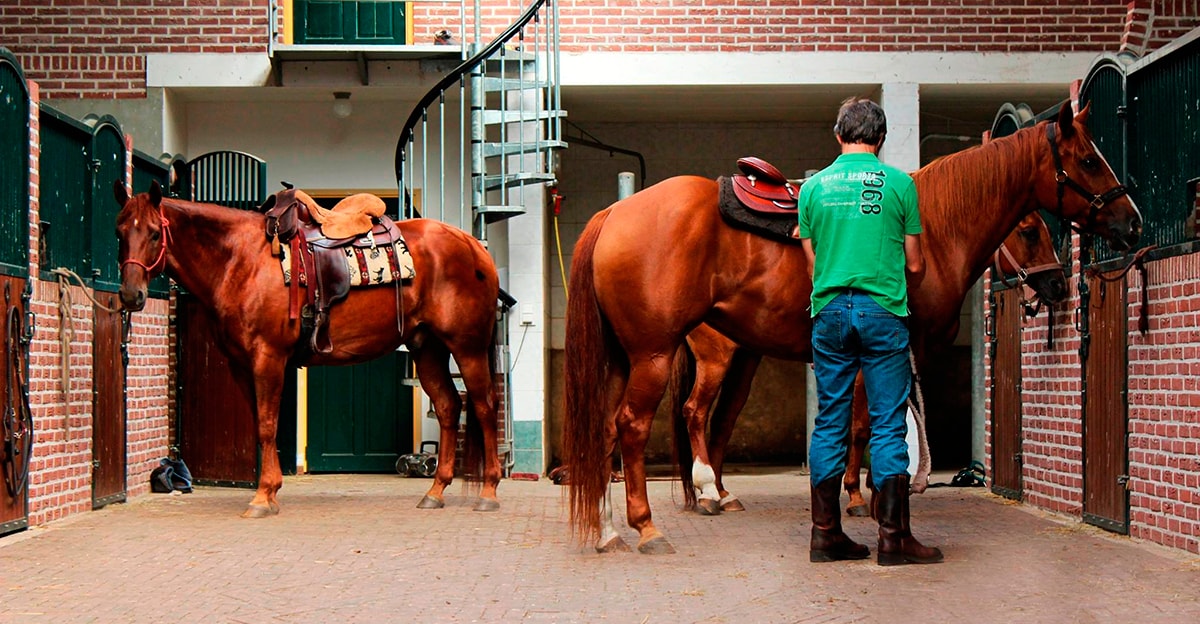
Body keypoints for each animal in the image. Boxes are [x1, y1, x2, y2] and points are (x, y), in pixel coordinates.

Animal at [117, 180, 501, 516]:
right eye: (120, 232)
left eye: (154, 233)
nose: (131, 295)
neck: (241, 259)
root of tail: (474, 246)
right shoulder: (241, 364)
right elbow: (260, 426)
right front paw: (270, 492)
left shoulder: (268, 358)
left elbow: (267, 425)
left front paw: (263, 497)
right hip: (428, 347)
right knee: (449, 407)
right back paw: (435, 492)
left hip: (467, 347)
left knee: (483, 406)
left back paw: (488, 491)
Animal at [676, 212, 1070, 513]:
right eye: (1030, 231)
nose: (1058, 284)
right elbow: (863, 427)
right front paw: (857, 495)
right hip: (716, 359)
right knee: (696, 411)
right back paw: (709, 492)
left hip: (745, 359)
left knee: (723, 420)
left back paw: (724, 495)